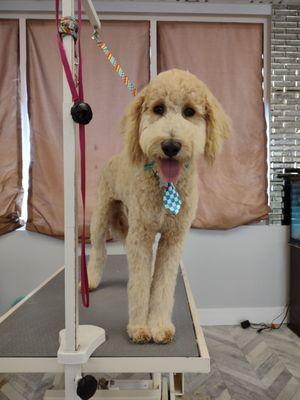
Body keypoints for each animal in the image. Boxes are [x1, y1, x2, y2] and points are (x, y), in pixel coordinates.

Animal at [86, 69, 230, 344]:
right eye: (158, 109)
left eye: (189, 111)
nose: (171, 145)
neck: (166, 184)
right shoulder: (141, 235)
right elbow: (140, 284)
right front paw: (139, 327)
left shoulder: (173, 238)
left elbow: (163, 285)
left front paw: (159, 326)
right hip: (100, 215)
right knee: (99, 251)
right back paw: (90, 279)